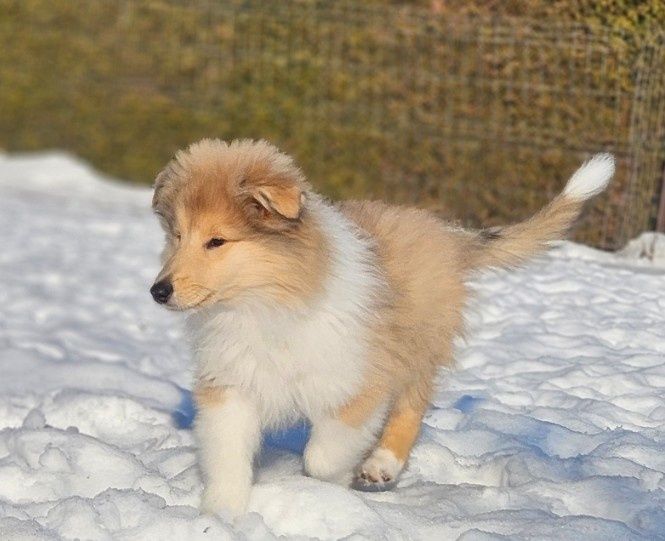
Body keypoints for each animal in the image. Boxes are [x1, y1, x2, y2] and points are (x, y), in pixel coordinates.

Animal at [150, 139, 614, 516]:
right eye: (177, 236)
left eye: (217, 241)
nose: (158, 291)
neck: (265, 303)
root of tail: (448, 235)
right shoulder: (231, 383)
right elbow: (226, 454)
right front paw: (221, 516)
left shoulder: (359, 381)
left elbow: (322, 456)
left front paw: (335, 483)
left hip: (418, 343)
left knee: (412, 405)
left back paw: (380, 465)